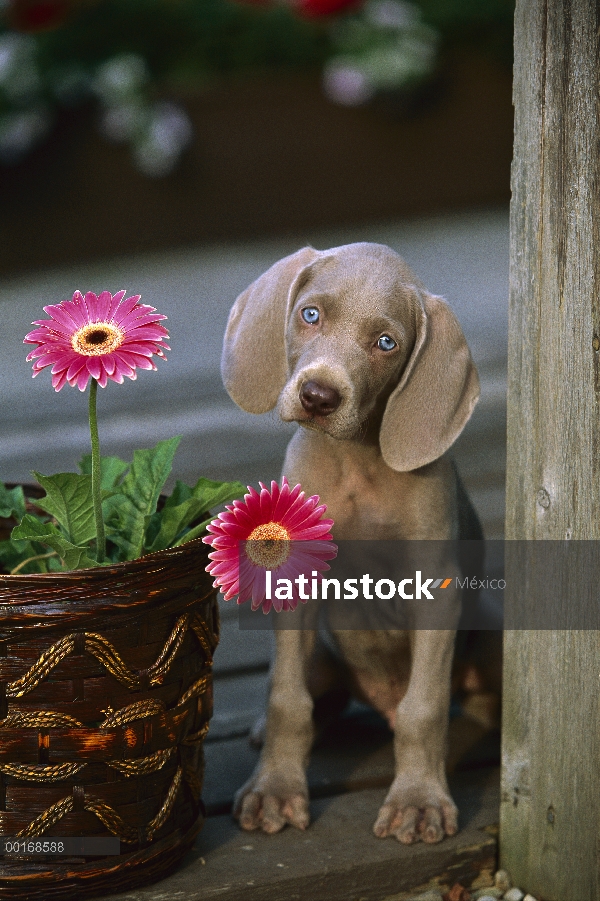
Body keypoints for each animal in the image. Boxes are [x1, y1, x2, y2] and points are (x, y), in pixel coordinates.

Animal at [221, 241, 482, 844]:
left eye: (386, 343)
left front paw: (418, 801)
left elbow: (424, 708)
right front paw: (274, 790)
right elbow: (288, 697)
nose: (318, 396)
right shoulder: (293, 579)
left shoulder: (437, 591)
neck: (356, 463)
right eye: (310, 314)